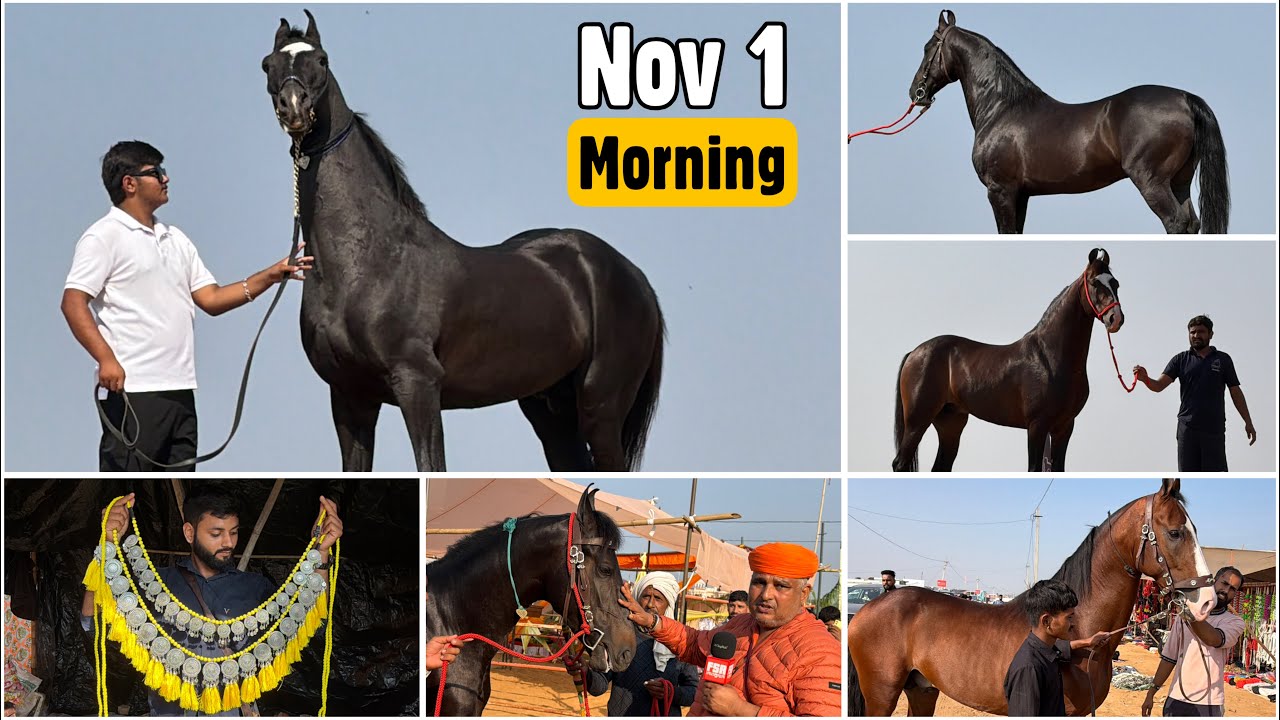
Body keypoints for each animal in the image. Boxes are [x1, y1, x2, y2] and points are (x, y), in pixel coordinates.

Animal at [261, 11, 665, 471]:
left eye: (322, 60)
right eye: (268, 65)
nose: (293, 108)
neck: (366, 262)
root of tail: (636, 278)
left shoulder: (417, 384)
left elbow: (430, 466)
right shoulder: (349, 396)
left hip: (601, 407)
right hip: (551, 412)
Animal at [848, 478, 1217, 716]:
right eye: (1175, 532)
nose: (1208, 601)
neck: (1078, 630)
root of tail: (868, 609)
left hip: (922, 690)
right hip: (882, 696)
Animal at [893, 248, 1123, 472]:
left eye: (1115, 283)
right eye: (1094, 282)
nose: (1116, 318)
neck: (1049, 358)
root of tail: (914, 353)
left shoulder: (1064, 427)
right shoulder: (1037, 426)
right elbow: (1033, 468)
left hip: (950, 423)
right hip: (917, 421)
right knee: (900, 464)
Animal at [911, 10, 1229, 234]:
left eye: (928, 47)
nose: (916, 93)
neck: (1002, 108)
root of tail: (1185, 98)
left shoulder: (1000, 191)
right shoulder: (1021, 195)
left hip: (1152, 181)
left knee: (1175, 222)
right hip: (1179, 181)